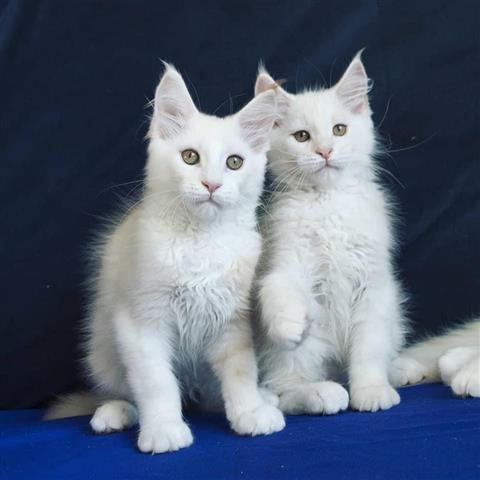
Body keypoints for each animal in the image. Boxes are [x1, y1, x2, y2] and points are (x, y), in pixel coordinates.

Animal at [46, 64, 284, 454]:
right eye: (189, 157)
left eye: (234, 163)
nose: (211, 185)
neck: (201, 240)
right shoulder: (141, 323)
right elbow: (156, 383)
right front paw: (164, 429)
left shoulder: (230, 321)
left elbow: (240, 373)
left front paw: (249, 411)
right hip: (103, 349)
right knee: (118, 391)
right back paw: (114, 413)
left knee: (212, 394)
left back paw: (263, 398)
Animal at [255, 51, 404, 412]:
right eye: (302, 137)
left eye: (339, 130)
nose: (324, 151)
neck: (328, 203)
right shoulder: (286, 259)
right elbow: (278, 286)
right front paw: (290, 323)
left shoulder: (374, 288)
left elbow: (369, 349)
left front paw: (372, 389)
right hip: (300, 352)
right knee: (286, 388)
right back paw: (319, 393)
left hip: (395, 317)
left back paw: (402, 369)